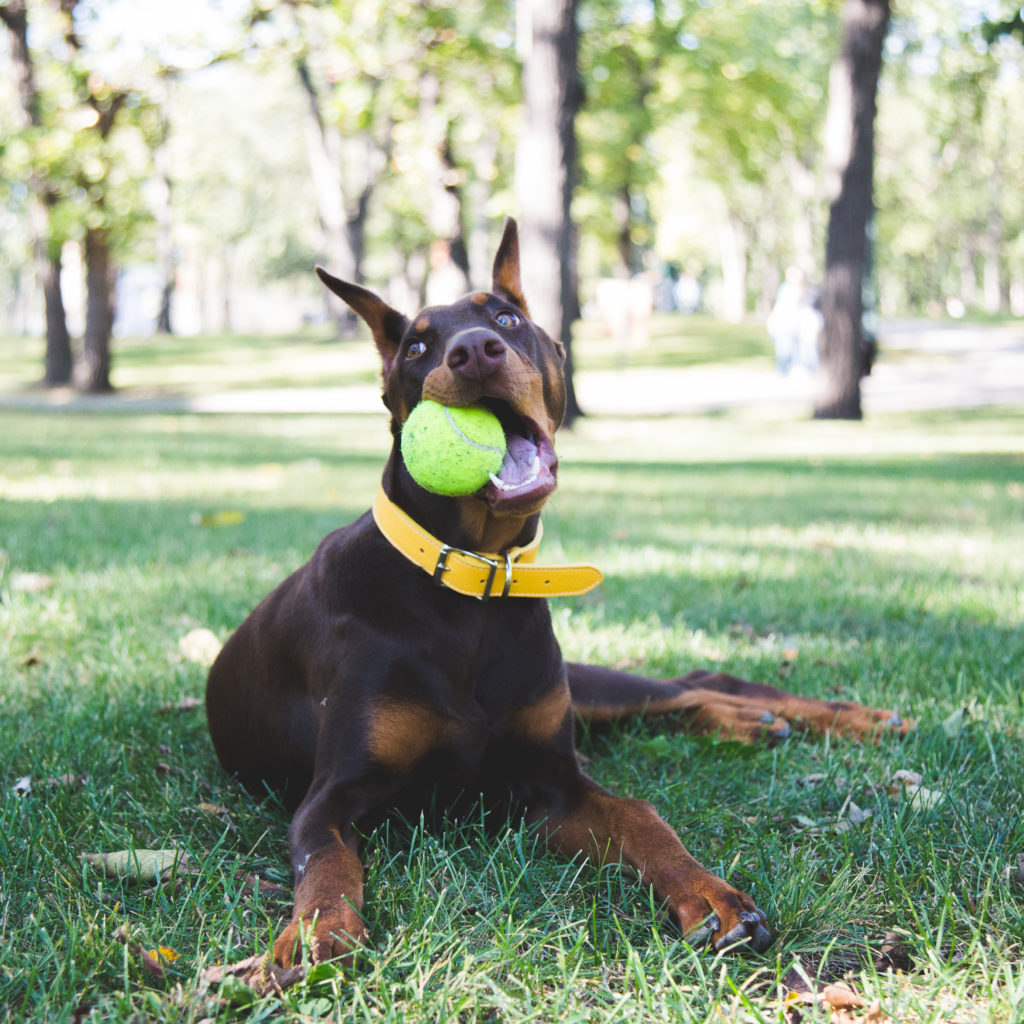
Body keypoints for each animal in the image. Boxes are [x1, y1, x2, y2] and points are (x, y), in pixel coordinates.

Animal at [203, 218, 909, 966]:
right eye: (417, 346)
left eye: (507, 319)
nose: (474, 351)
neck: (474, 590)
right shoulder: (330, 797)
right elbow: (328, 864)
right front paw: (318, 936)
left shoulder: (553, 781)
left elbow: (640, 816)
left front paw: (711, 895)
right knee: (693, 695)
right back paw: (762, 724)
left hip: (586, 691)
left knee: (698, 681)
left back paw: (847, 718)